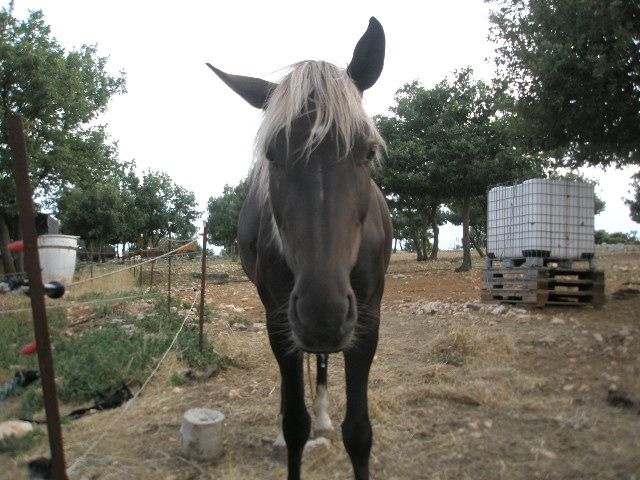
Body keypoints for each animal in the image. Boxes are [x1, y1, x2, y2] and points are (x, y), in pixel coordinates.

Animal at [207, 17, 392, 480]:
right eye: (272, 153)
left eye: (368, 150)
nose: (321, 314)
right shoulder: (278, 317)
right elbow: (294, 424)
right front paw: (286, 434)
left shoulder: (366, 317)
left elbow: (359, 432)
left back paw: (323, 416)